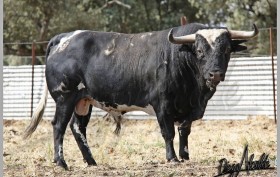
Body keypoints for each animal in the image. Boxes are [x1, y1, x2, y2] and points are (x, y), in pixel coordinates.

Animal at [24, 22, 258, 169]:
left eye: (226, 50)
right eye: (200, 51)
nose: (215, 73)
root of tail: (63, 37)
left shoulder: (188, 108)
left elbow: (184, 132)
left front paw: (185, 156)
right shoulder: (162, 105)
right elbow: (168, 133)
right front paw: (172, 158)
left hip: (84, 100)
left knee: (77, 128)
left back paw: (91, 162)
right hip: (65, 97)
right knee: (58, 126)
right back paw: (61, 162)